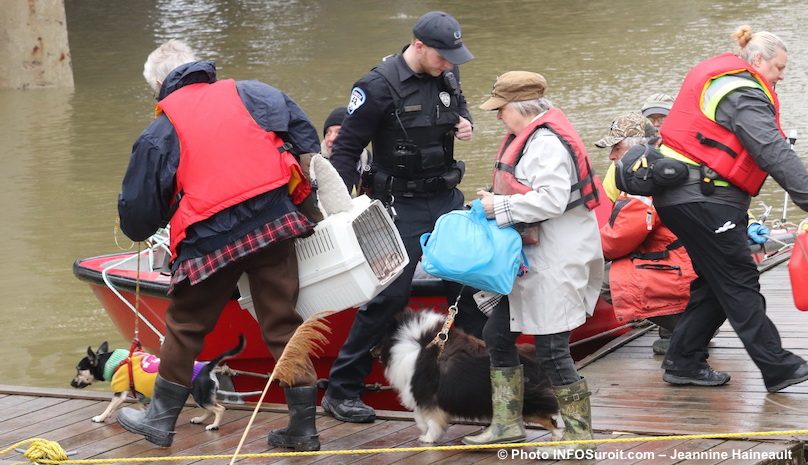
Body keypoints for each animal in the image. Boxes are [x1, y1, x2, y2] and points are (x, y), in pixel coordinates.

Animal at [70, 334, 243, 428]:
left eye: (78, 370)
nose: (71, 383)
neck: (112, 363)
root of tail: (207, 367)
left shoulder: (120, 394)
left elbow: (109, 408)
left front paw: (100, 418)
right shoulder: (140, 396)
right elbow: (143, 408)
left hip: (200, 395)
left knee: (219, 409)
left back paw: (214, 426)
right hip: (201, 396)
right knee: (209, 409)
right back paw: (200, 419)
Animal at [374, 310, 560, 440]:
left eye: (381, 337)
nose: (370, 351)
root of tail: (533, 361)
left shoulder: (425, 395)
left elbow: (427, 418)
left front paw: (427, 438)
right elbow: (422, 417)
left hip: (528, 401)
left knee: (549, 416)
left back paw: (558, 437)